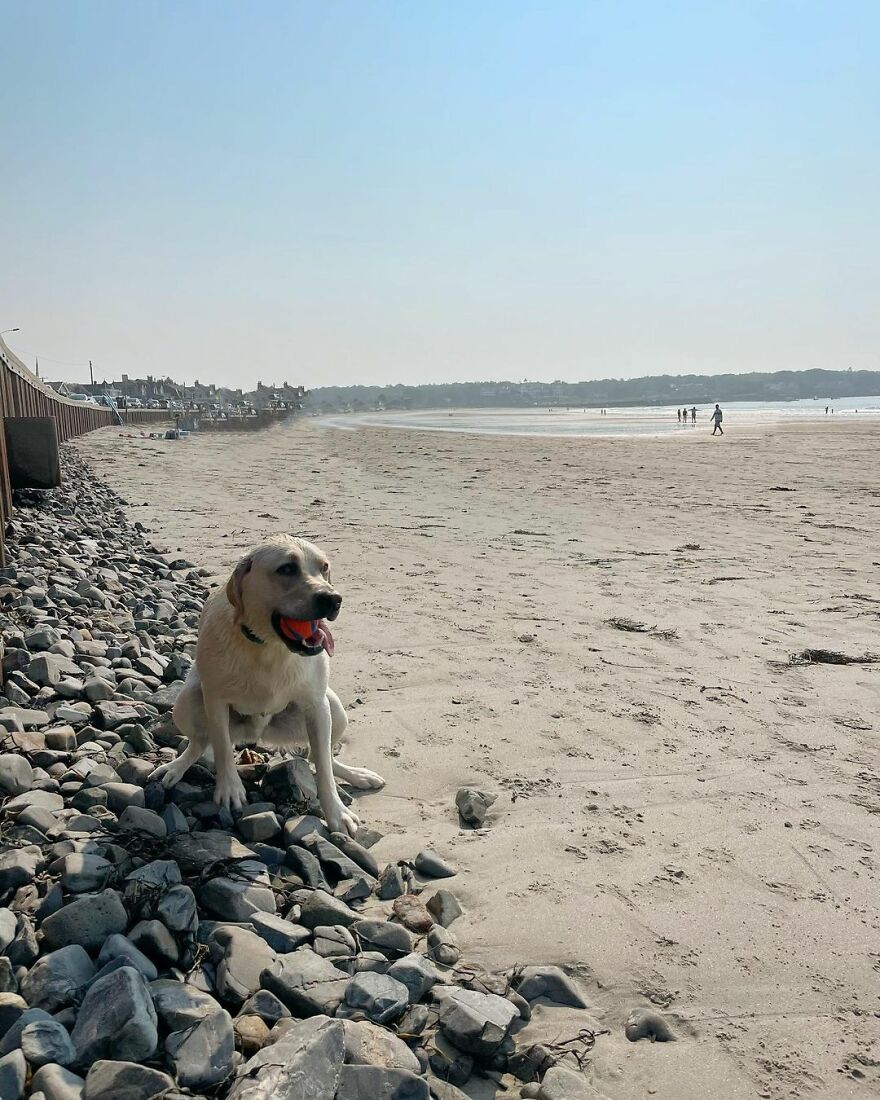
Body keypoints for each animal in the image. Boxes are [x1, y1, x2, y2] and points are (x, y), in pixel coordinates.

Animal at [149, 532, 382, 831]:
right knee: (200, 742)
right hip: (186, 701)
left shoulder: (317, 706)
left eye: (325, 567)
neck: (270, 646)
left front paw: (336, 812)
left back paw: (357, 775)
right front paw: (230, 789)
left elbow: (324, 770)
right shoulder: (215, 699)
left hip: (334, 708)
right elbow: (222, 748)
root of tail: (256, 734)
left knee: (319, 755)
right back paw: (175, 768)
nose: (333, 599)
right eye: (287, 569)